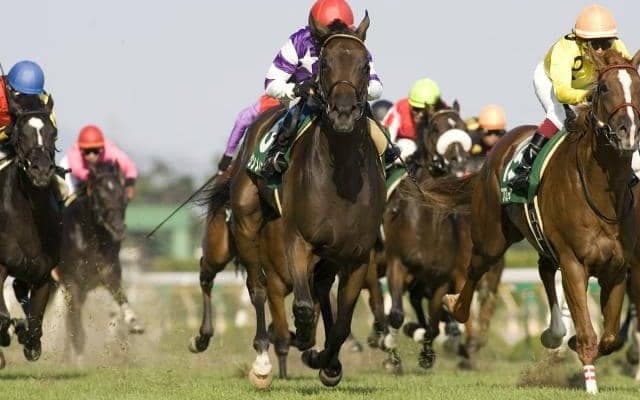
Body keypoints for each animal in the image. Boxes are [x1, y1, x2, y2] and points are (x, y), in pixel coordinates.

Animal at [57, 161, 144, 362]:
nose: (119, 229)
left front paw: (133, 322)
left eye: (123, 197)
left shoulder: (108, 271)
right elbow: (77, 327)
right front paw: (80, 360)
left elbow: (120, 295)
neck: (90, 236)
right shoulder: (73, 281)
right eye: (100, 195)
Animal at [224, 14, 385, 387]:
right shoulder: (298, 241)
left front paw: (327, 363)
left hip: (330, 256)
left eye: (365, 63)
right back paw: (263, 360)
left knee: (322, 292)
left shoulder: (357, 255)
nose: (343, 113)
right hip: (247, 224)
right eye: (324, 64)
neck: (342, 179)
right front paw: (303, 341)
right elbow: (302, 308)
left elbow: (341, 323)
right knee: (258, 288)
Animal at [382, 104, 474, 369]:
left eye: (462, 126)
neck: (424, 224)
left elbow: (433, 325)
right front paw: (391, 353)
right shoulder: (396, 264)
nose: (460, 162)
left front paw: (426, 353)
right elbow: (395, 314)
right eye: (435, 128)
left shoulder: (440, 279)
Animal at [417, 49, 640, 393]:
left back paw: (554, 333)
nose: (627, 131)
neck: (602, 194)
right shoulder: (574, 262)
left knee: (544, 268)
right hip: (491, 236)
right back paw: (456, 307)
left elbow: (611, 337)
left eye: (638, 85)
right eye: (603, 88)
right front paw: (589, 382)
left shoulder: (617, 268)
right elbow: (589, 332)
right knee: (476, 268)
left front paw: (574, 345)